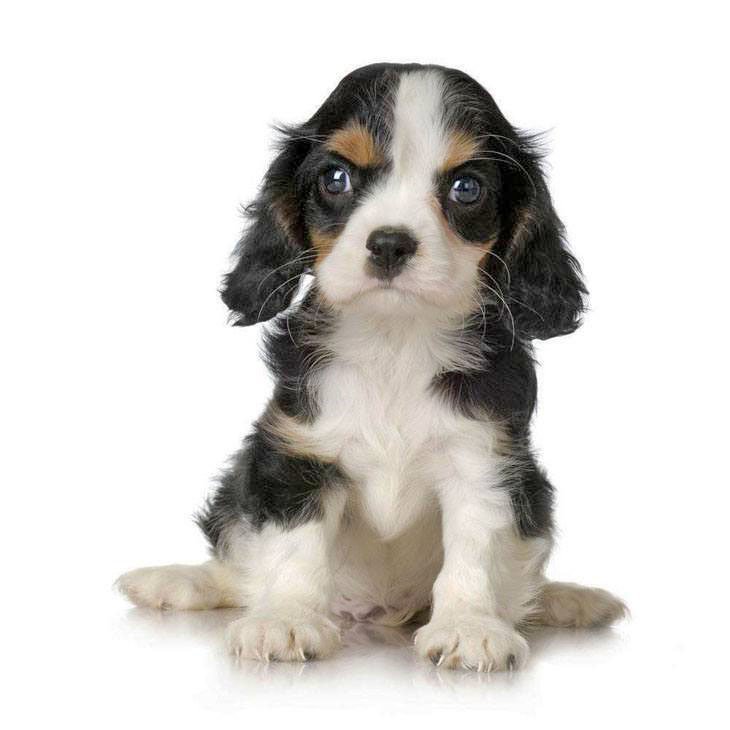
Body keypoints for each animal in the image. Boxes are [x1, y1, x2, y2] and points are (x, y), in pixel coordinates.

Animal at [116, 64, 624, 672]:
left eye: (467, 188)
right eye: (335, 178)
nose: (389, 244)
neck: (394, 339)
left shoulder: (487, 460)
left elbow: (475, 551)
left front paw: (470, 626)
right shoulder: (296, 453)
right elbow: (294, 548)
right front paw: (286, 619)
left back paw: (569, 600)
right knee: (236, 562)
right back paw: (177, 582)